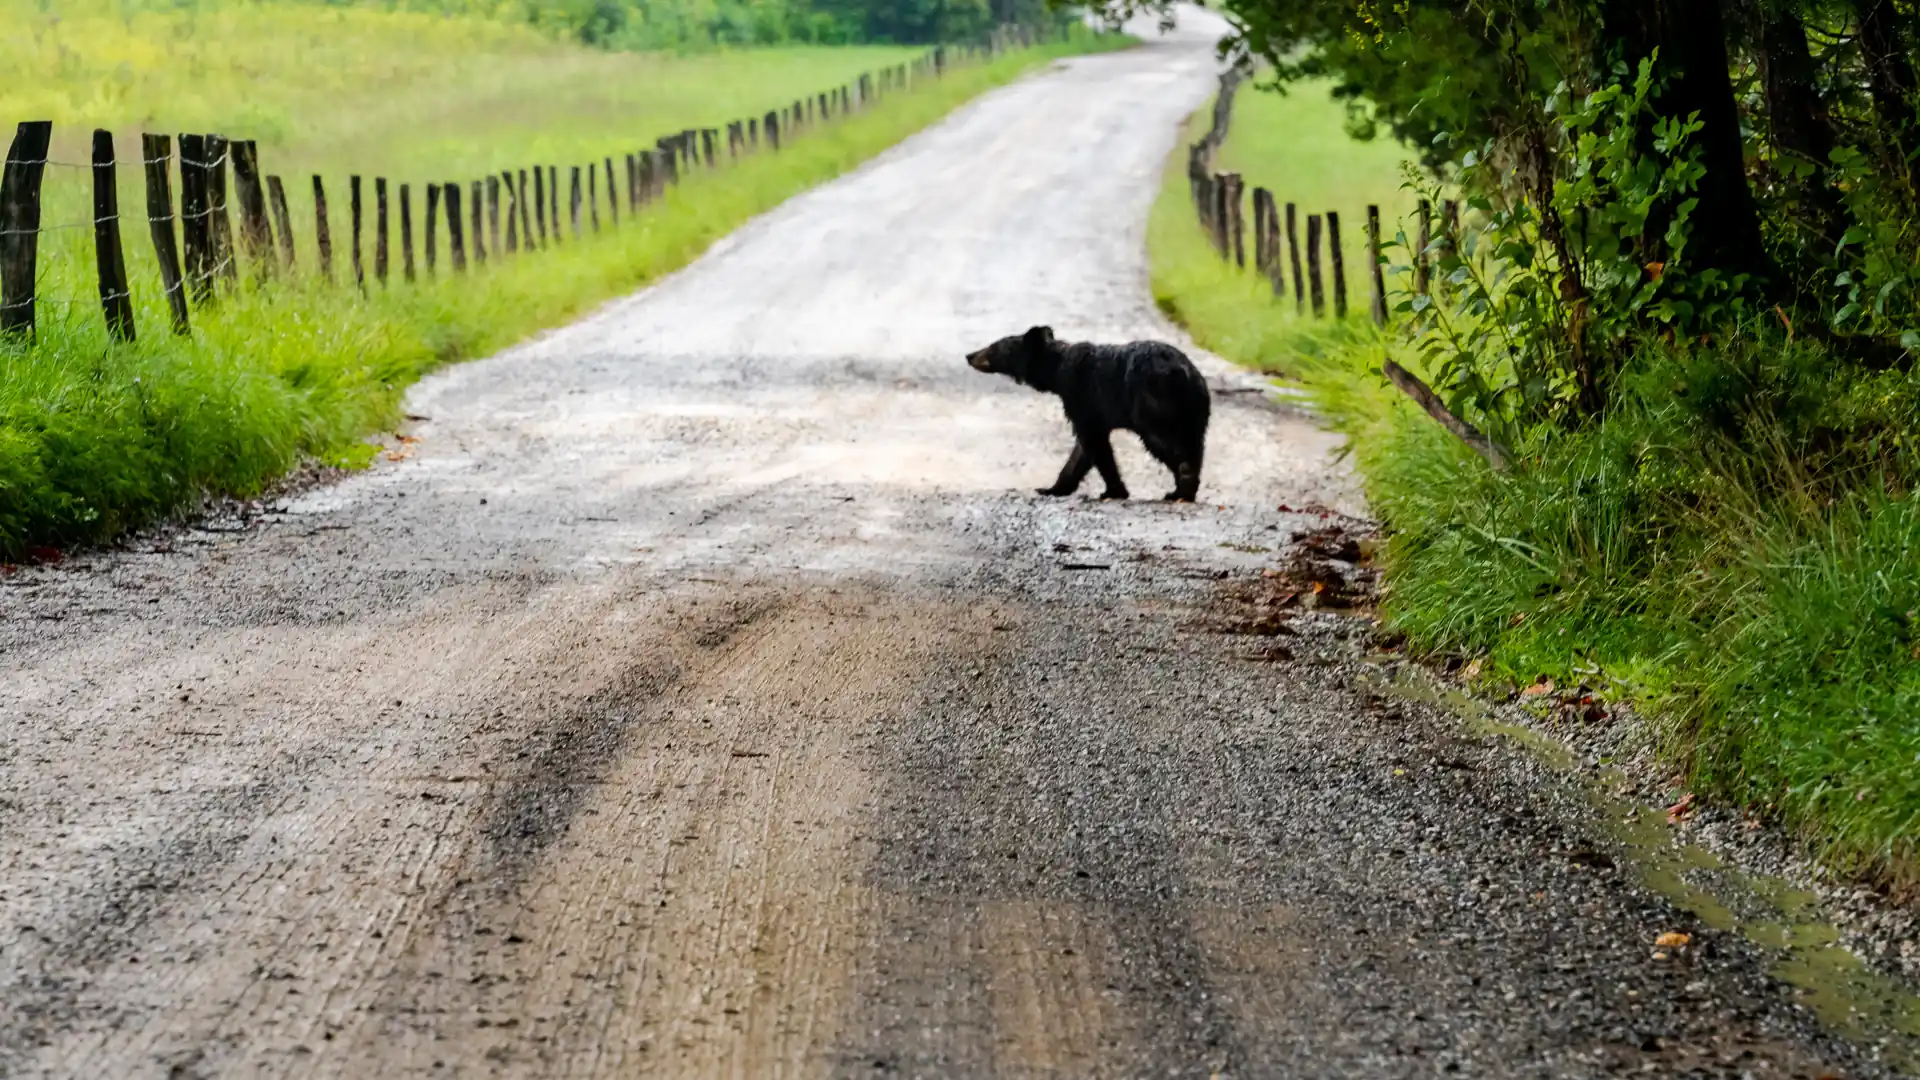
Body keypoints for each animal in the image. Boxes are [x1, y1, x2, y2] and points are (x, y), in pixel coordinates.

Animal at [966, 326, 1210, 502]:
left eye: (993, 347)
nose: (969, 355)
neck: (1056, 372)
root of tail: (1182, 372)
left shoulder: (1081, 395)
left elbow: (1094, 443)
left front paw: (1114, 491)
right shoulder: (1091, 409)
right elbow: (1082, 451)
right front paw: (1051, 488)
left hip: (1151, 403)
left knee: (1163, 442)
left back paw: (1183, 487)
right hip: (1196, 409)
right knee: (1194, 444)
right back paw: (1182, 489)